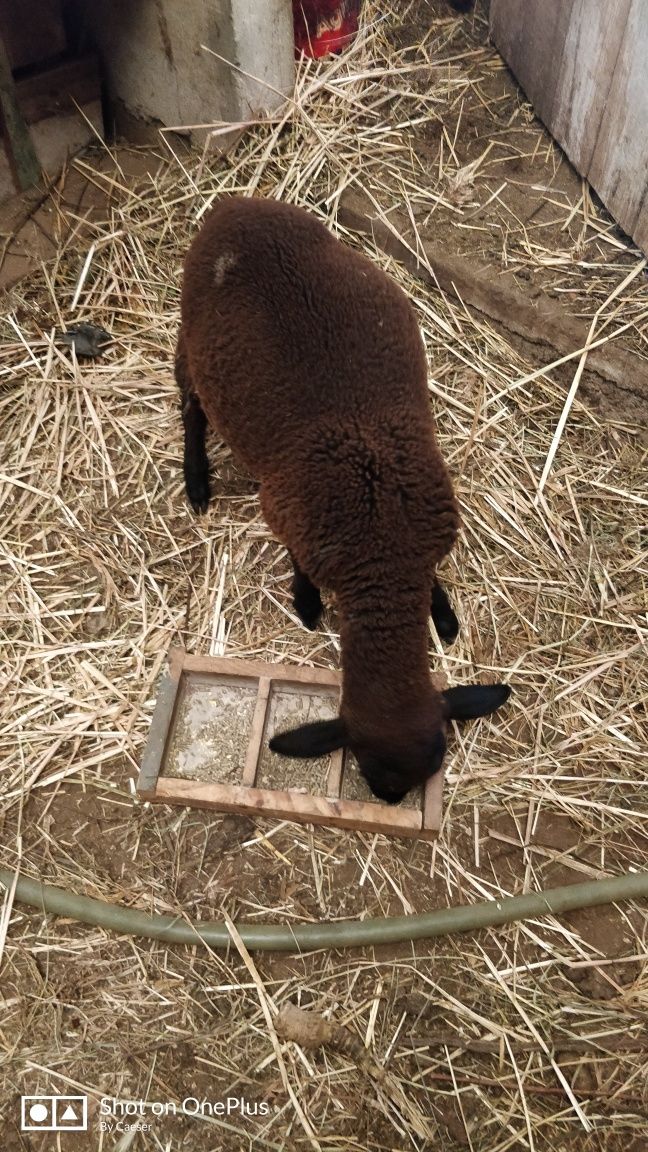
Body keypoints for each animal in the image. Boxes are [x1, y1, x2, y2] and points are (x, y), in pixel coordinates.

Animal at [174, 195, 507, 801]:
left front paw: (443, 614)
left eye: (434, 763)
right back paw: (197, 483)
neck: (385, 547)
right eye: (370, 776)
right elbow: (300, 564)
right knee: (191, 405)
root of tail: (233, 206)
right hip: (191, 339)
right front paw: (307, 605)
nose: (393, 801)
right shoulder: (291, 516)